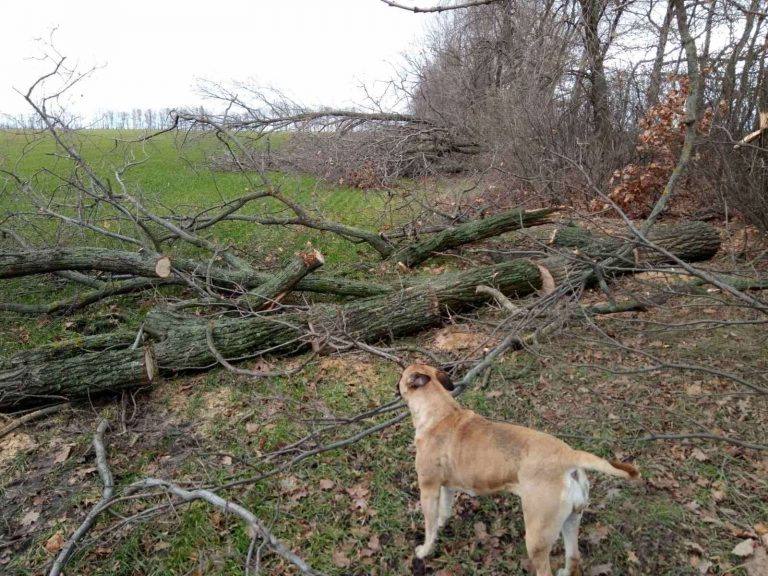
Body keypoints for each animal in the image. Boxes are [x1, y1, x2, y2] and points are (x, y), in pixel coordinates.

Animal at [400, 364, 640, 576]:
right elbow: (443, 512)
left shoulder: (428, 489)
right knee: (574, 558)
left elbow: (429, 526)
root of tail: (569, 455)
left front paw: (424, 550)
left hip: (536, 537)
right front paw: (442, 524)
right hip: (571, 521)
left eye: (403, 374)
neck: (440, 413)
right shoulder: (446, 486)